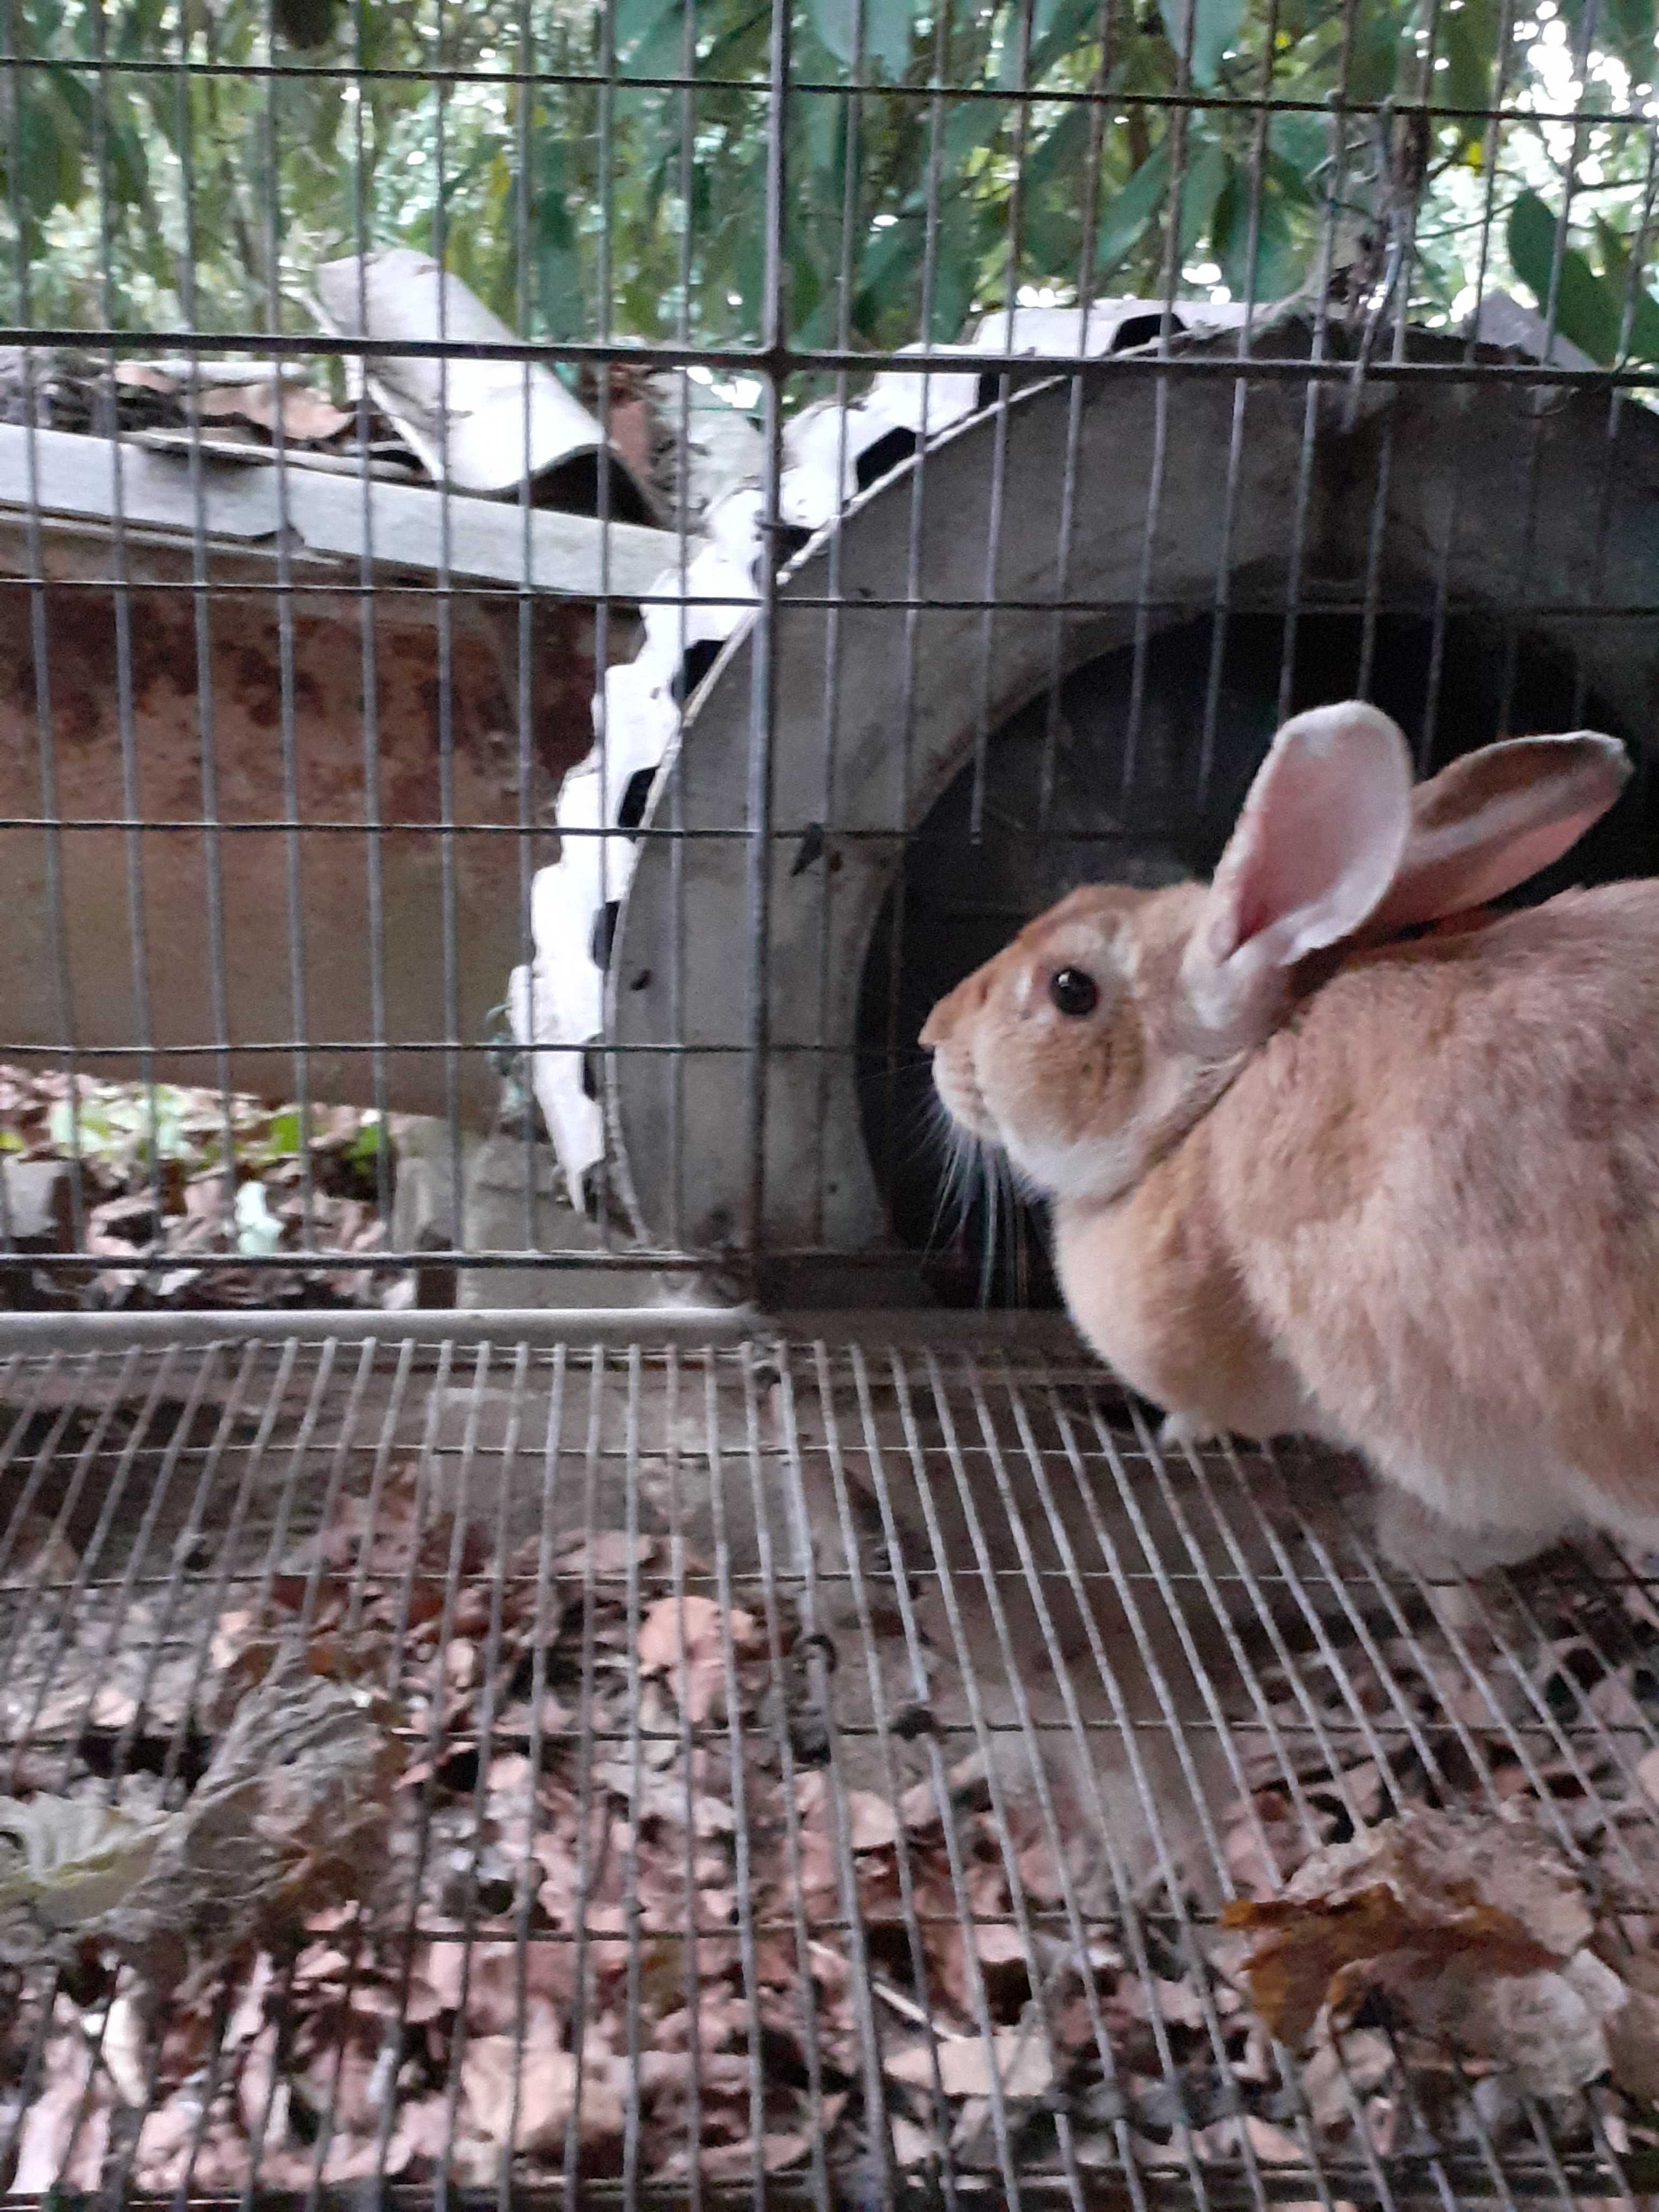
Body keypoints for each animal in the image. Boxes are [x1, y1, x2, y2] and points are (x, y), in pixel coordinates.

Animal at [924, 699, 1654, 1583]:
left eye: (1072, 989)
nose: (932, 1035)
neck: (1202, 1123)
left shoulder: (1464, 1441)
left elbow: (1506, 1521)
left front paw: (1416, 1546)